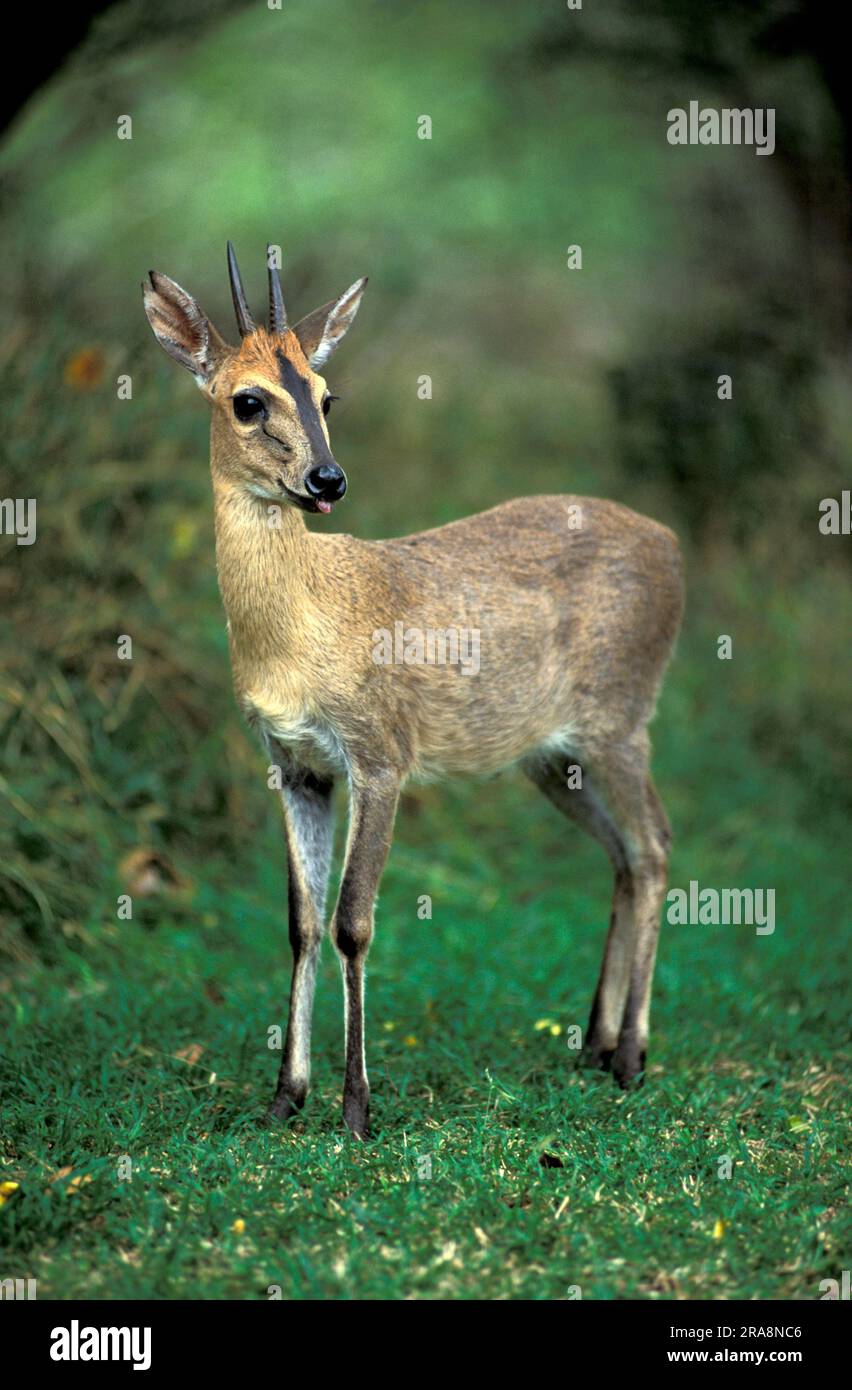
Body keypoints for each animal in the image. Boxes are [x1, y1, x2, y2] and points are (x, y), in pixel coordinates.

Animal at [141, 244, 683, 1139]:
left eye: (327, 394)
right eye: (248, 400)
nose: (327, 479)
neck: (301, 629)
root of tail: (672, 545)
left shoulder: (381, 756)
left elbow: (354, 920)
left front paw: (357, 1107)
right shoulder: (295, 766)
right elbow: (300, 923)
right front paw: (285, 1097)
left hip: (622, 723)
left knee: (656, 845)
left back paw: (634, 1058)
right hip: (552, 758)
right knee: (623, 856)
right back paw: (594, 1045)